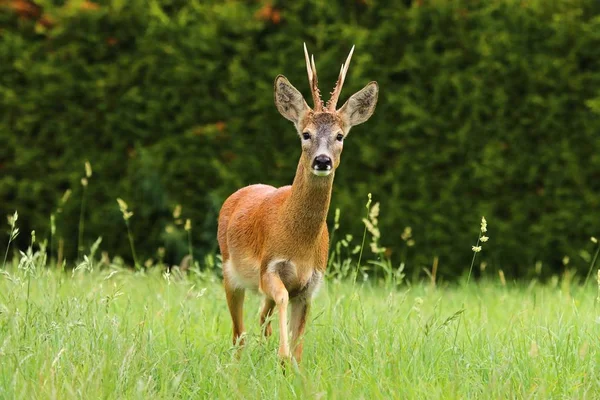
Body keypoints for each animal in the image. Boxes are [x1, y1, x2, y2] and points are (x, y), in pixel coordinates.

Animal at [217, 43, 380, 362]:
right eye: (306, 134)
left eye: (340, 136)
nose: (322, 160)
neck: (300, 245)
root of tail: (239, 192)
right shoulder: (269, 268)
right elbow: (280, 298)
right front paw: (282, 356)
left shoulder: (310, 285)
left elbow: (300, 341)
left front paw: (292, 363)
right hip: (229, 273)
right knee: (238, 333)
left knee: (260, 318)